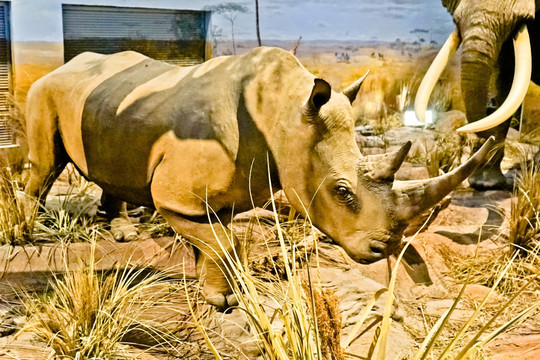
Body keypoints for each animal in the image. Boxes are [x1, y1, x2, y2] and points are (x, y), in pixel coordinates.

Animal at [23, 46, 492, 308]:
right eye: (342, 192)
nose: (384, 249)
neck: (284, 111)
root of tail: (64, 65)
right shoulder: (174, 196)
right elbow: (223, 242)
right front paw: (222, 298)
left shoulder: (229, 190)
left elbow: (218, 241)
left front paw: (219, 294)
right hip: (42, 91)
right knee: (45, 165)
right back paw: (25, 234)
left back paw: (120, 230)